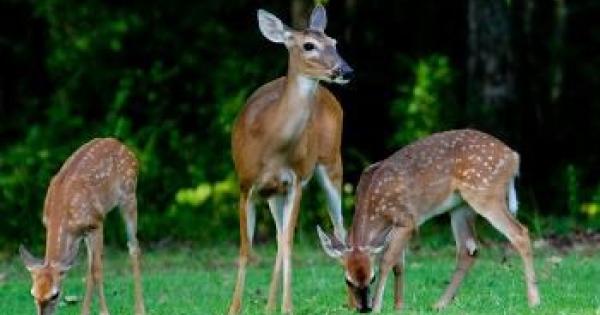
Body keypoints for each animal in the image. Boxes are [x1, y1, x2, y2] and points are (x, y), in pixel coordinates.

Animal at [19, 139, 145, 315]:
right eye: (33, 293)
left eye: (55, 295)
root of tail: (122, 145)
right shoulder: (79, 233)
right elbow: (89, 270)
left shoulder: (96, 222)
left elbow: (97, 271)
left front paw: (105, 312)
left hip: (129, 195)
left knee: (133, 247)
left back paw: (140, 309)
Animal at [229, 4, 352, 315]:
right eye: (308, 45)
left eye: (334, 42)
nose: (346, 70)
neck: (271, 144)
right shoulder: (246, 185)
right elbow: (246, 248)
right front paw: (234, 308)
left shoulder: (296, 181)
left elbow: (289, 243)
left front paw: (288, 307)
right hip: (274, 194)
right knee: (277, 236)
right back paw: (269, 305)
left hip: (331, 162)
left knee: (339, 227)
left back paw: (351, 297)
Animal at [318, 130, 540, 314]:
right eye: (347, 281)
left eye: (371, 278)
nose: (364, 308)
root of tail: (514, 157)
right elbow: (399, 265)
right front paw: (398, 306)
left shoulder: (407, 219)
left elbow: (387, 261)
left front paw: (380, 306)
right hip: (460, 207)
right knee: (468, 249)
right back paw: (439, 304)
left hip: (485, 193)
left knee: (519, 232)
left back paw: (534, 301)